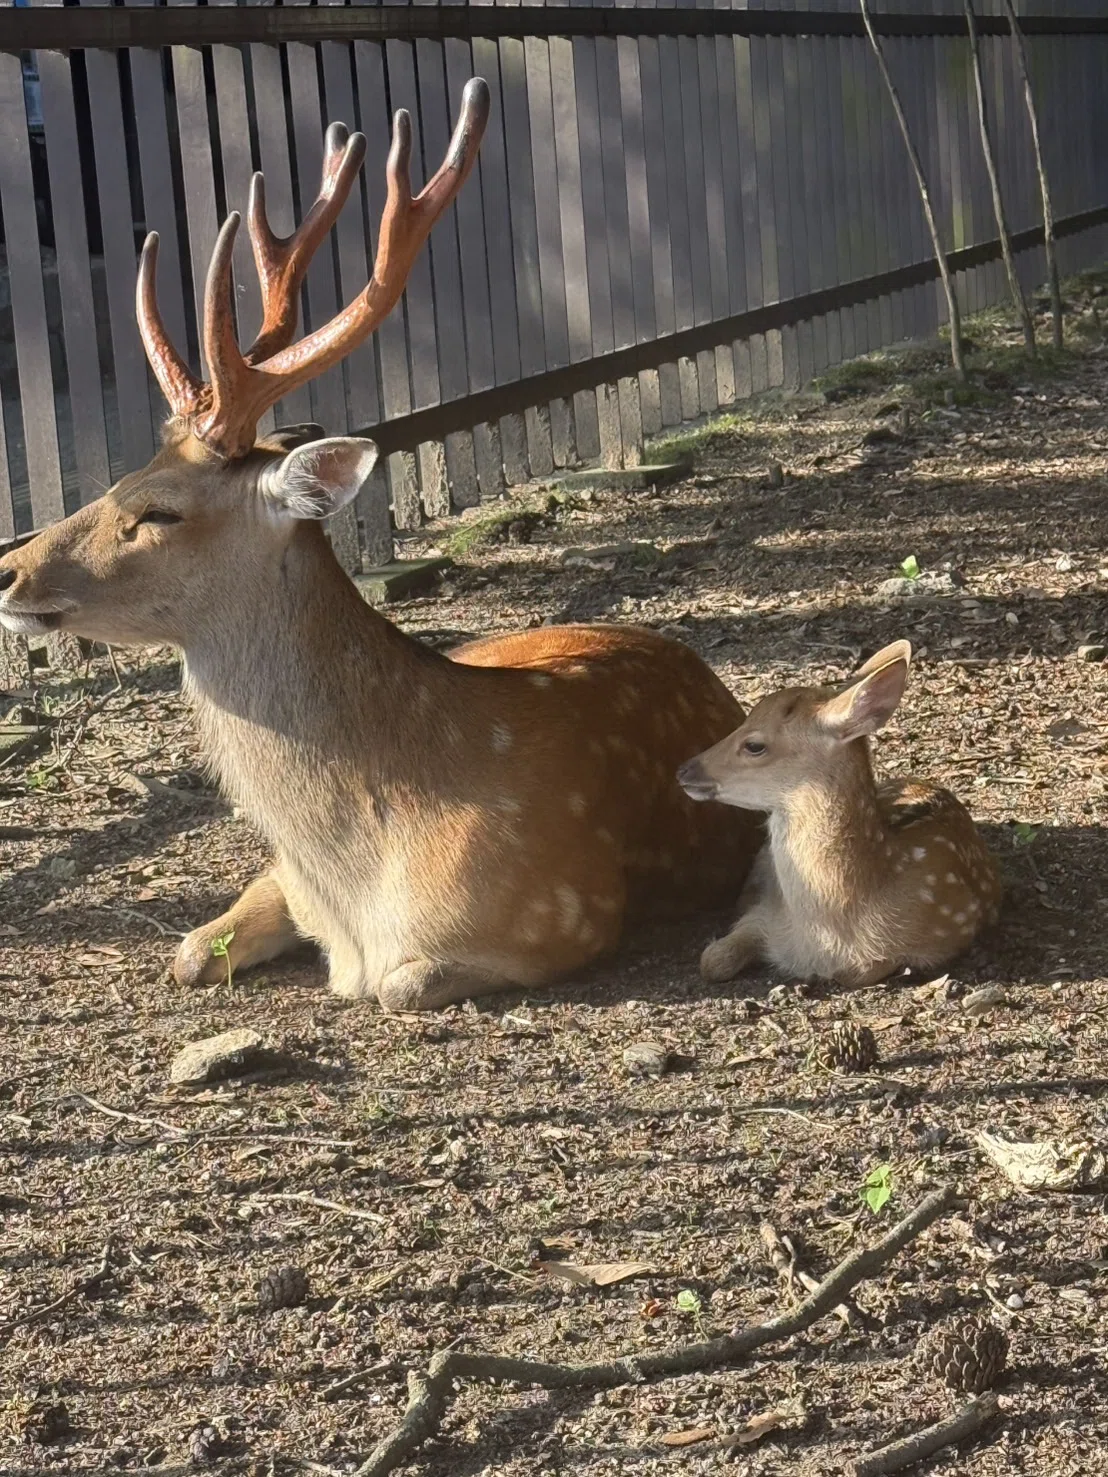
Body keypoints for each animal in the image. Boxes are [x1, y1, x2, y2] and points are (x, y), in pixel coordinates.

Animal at [0, 81, 763, 1012]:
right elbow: (188, 951)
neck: (361, 888)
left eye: (160, 511)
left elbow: (401, 984)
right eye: (120, 475)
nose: (8, 569)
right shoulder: (283, 880)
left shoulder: (566, 912)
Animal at [677, 641, 1001, 988]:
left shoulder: (944, 934)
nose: (685, 770)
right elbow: (712, 959)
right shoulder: (764, 914)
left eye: (754, 745)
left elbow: (857, 972)